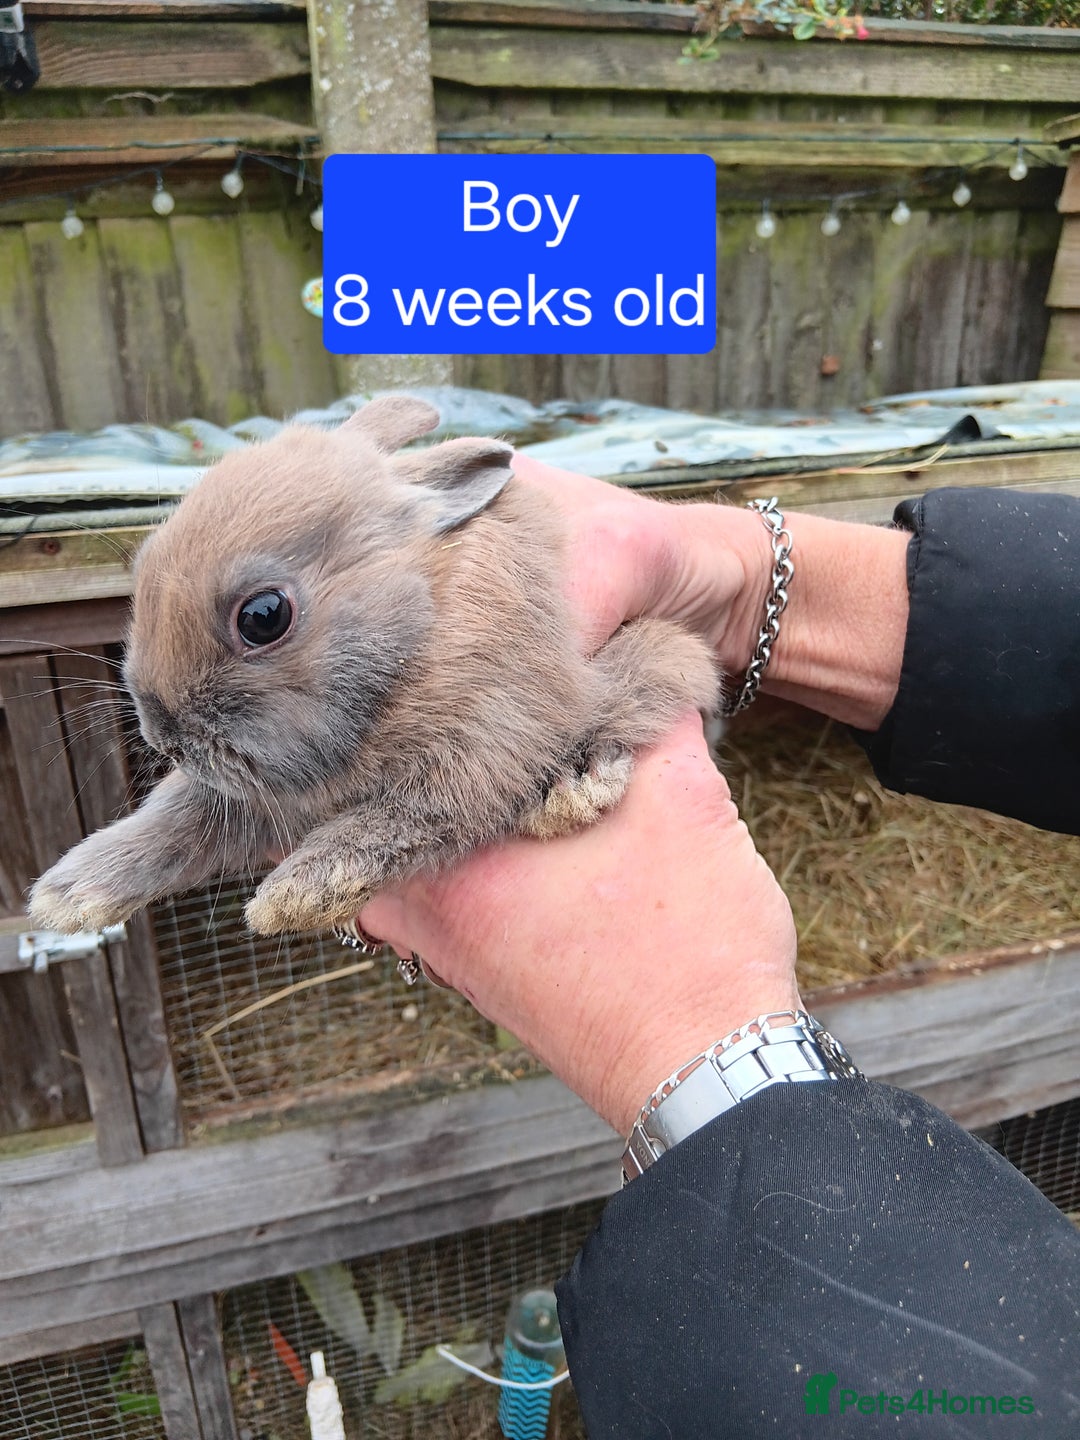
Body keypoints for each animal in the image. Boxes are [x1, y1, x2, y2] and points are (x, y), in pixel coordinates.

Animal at [29, 395, 721, 939]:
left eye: (263, 617)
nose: (162, 736)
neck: (420, 637)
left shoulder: (481, 751)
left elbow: (395, 823)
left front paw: (295, 899)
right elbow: (178, 815)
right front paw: (69, 896)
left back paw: (576, 787)